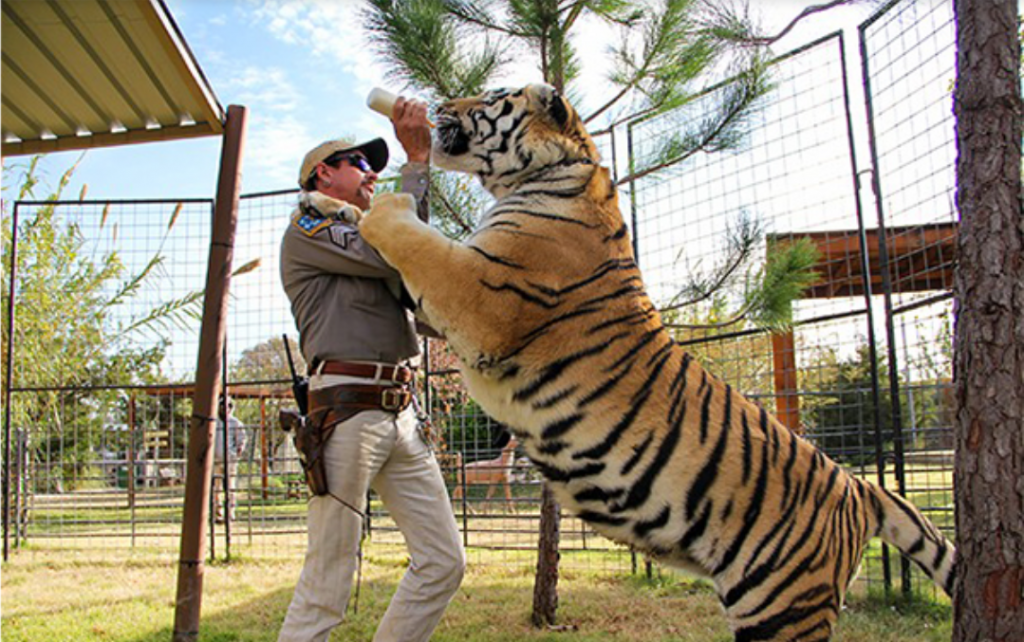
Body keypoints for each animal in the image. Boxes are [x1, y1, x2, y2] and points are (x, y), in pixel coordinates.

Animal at [358, 83, 956, 642]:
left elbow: (414, 239)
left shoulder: (480, 295)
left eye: (489, 97)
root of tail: (859, 488)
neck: (551, 173)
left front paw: (377, 205)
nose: (437, 106)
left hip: (782, 606)